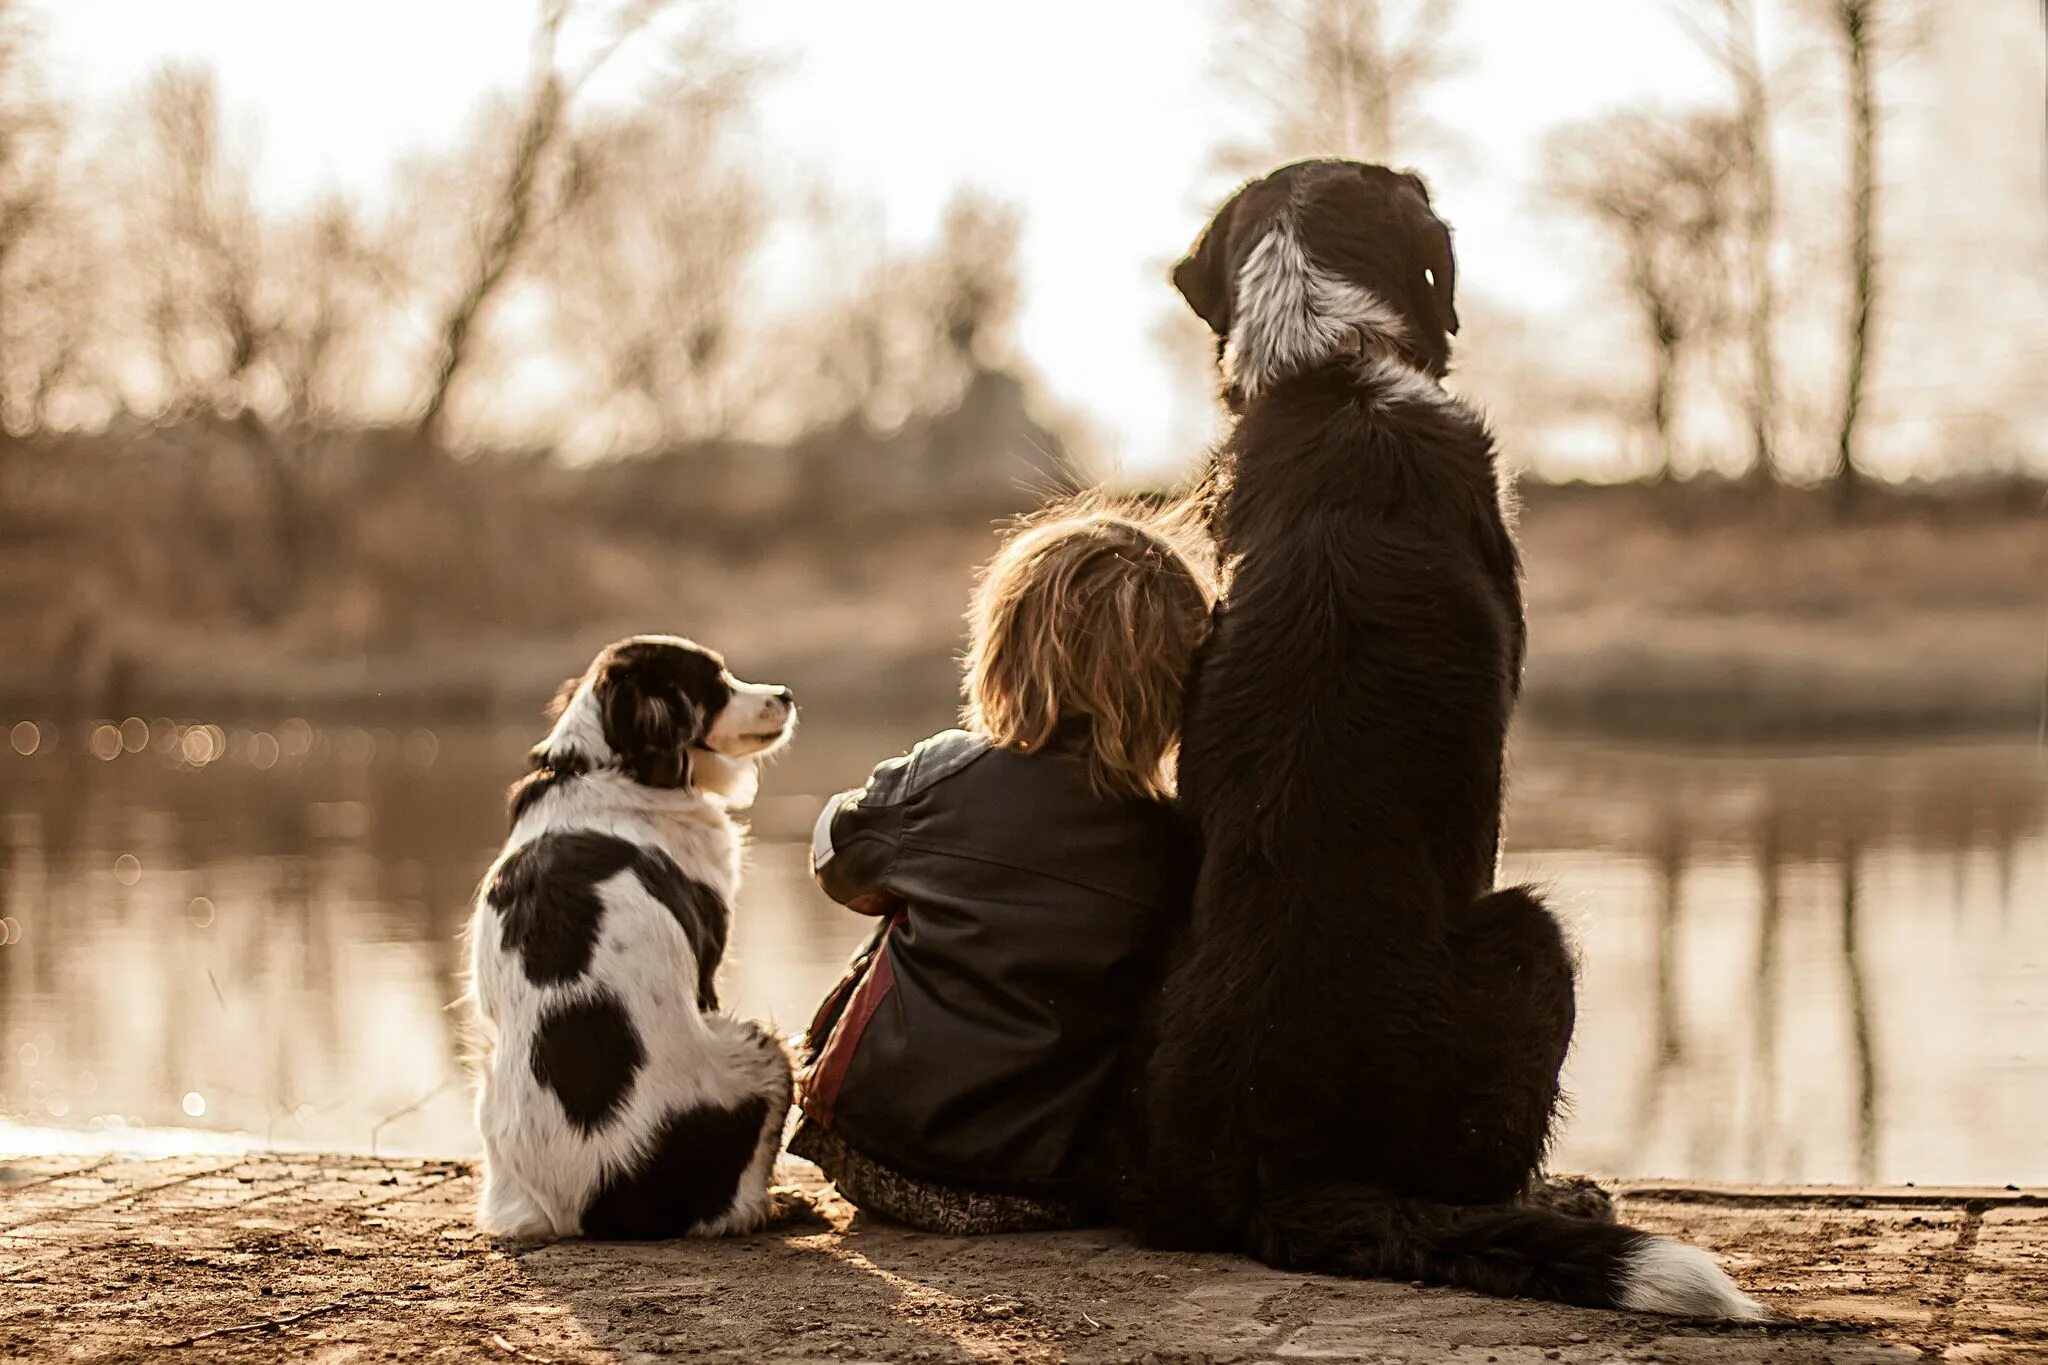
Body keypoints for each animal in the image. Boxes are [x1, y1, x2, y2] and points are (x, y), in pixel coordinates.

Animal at [471, 634, 798, 1244]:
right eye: (716, 684)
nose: (785, 693)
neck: (603, 768)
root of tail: (601, 1208)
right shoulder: (709, 966)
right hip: (760, 1048)